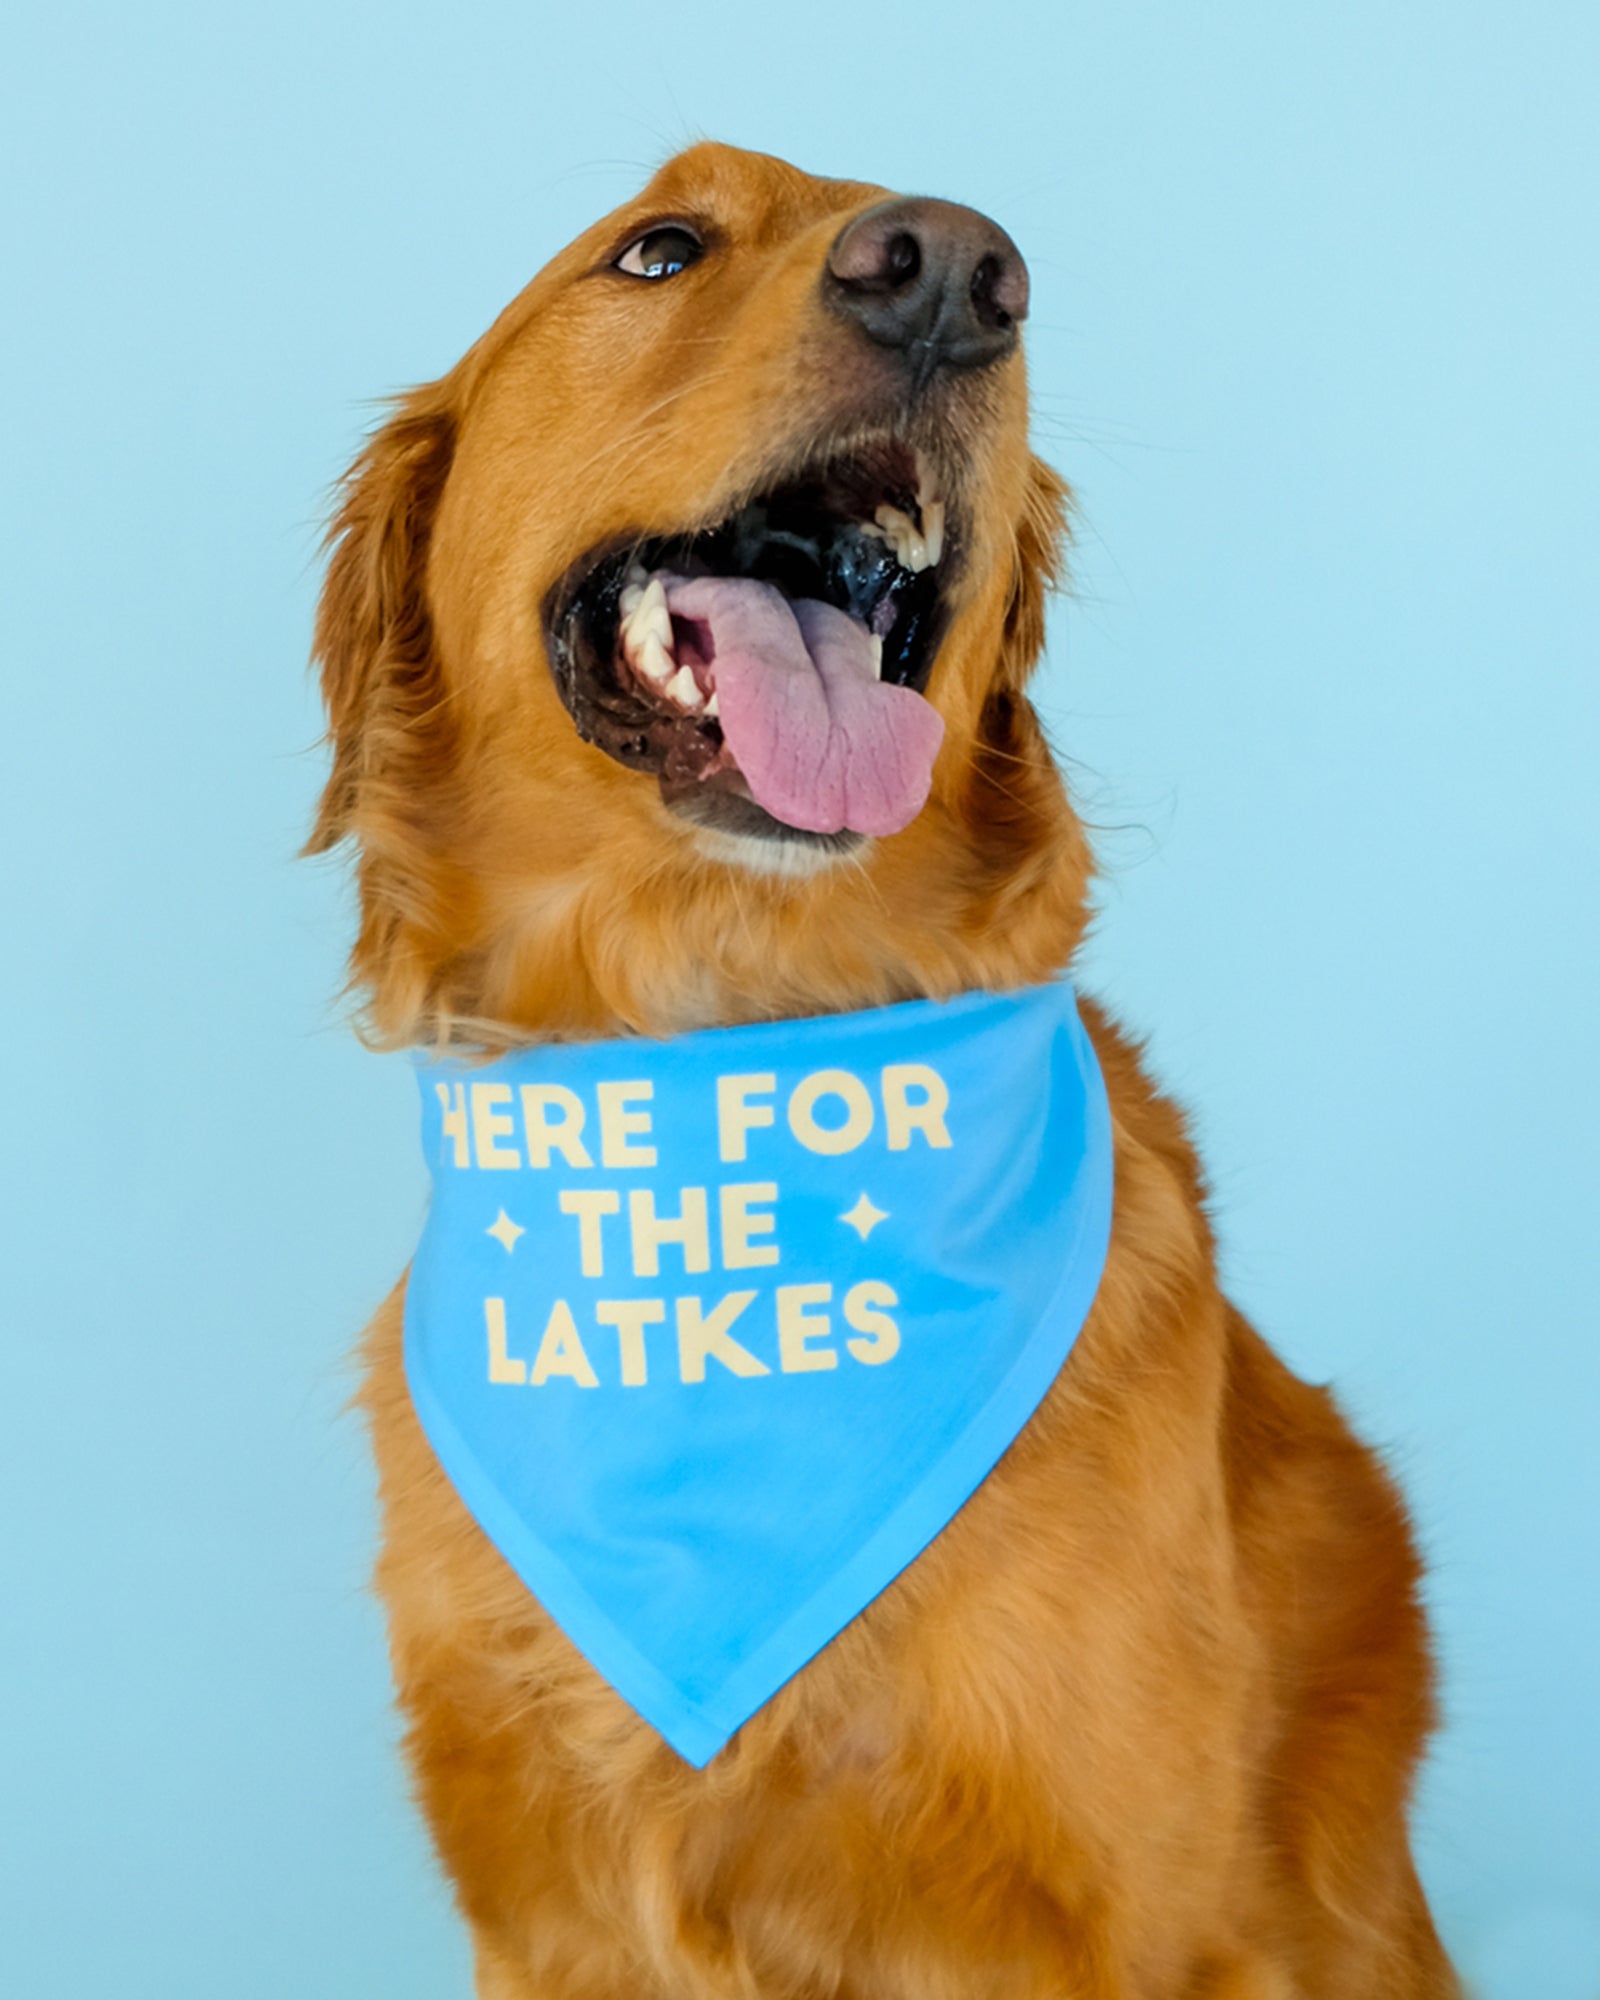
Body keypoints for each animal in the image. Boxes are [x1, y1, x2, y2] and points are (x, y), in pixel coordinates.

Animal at [306, 141, 1456, 2000]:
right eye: (659, 248)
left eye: (985, 271)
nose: (954, 274)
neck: (728, 1052)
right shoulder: (537, 1907)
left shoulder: (1138, 1910)